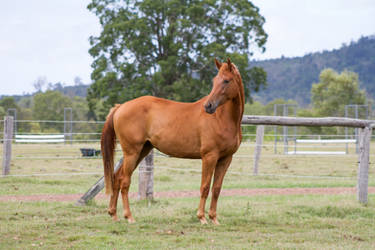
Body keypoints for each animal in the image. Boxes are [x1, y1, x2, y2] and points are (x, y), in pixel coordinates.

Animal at [101, 58, 245, 225]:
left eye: (226, 80)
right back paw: (129, 216)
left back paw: (114, 214)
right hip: (132, 152)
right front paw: (202, 217)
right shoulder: (209, 157)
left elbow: (216, 189)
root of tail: (121, 107)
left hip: (142, 151)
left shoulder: (226, 159)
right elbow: (205, 187)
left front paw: (214, 218)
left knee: (117, 178)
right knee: (124, 181)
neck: (222, 118)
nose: (208, 106)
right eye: (215, 81)